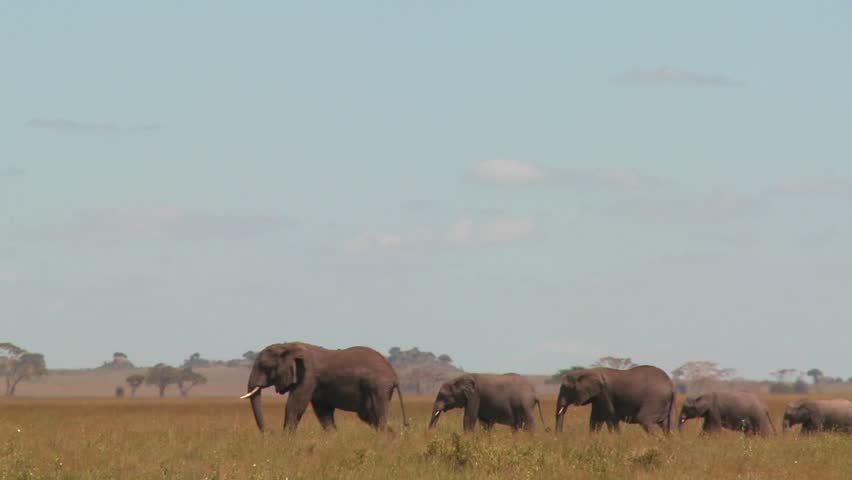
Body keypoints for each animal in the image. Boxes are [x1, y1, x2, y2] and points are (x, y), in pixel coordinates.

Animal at [239, 342, 408, 432]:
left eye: (265, 367)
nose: (271, 432)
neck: (288, 346)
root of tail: (394, 375)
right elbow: (323, 411)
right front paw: (334, 439)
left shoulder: (308, 376)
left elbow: (295, 405)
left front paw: (286, 439)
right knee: (370, 416)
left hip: (379, 387)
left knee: (378, 416)